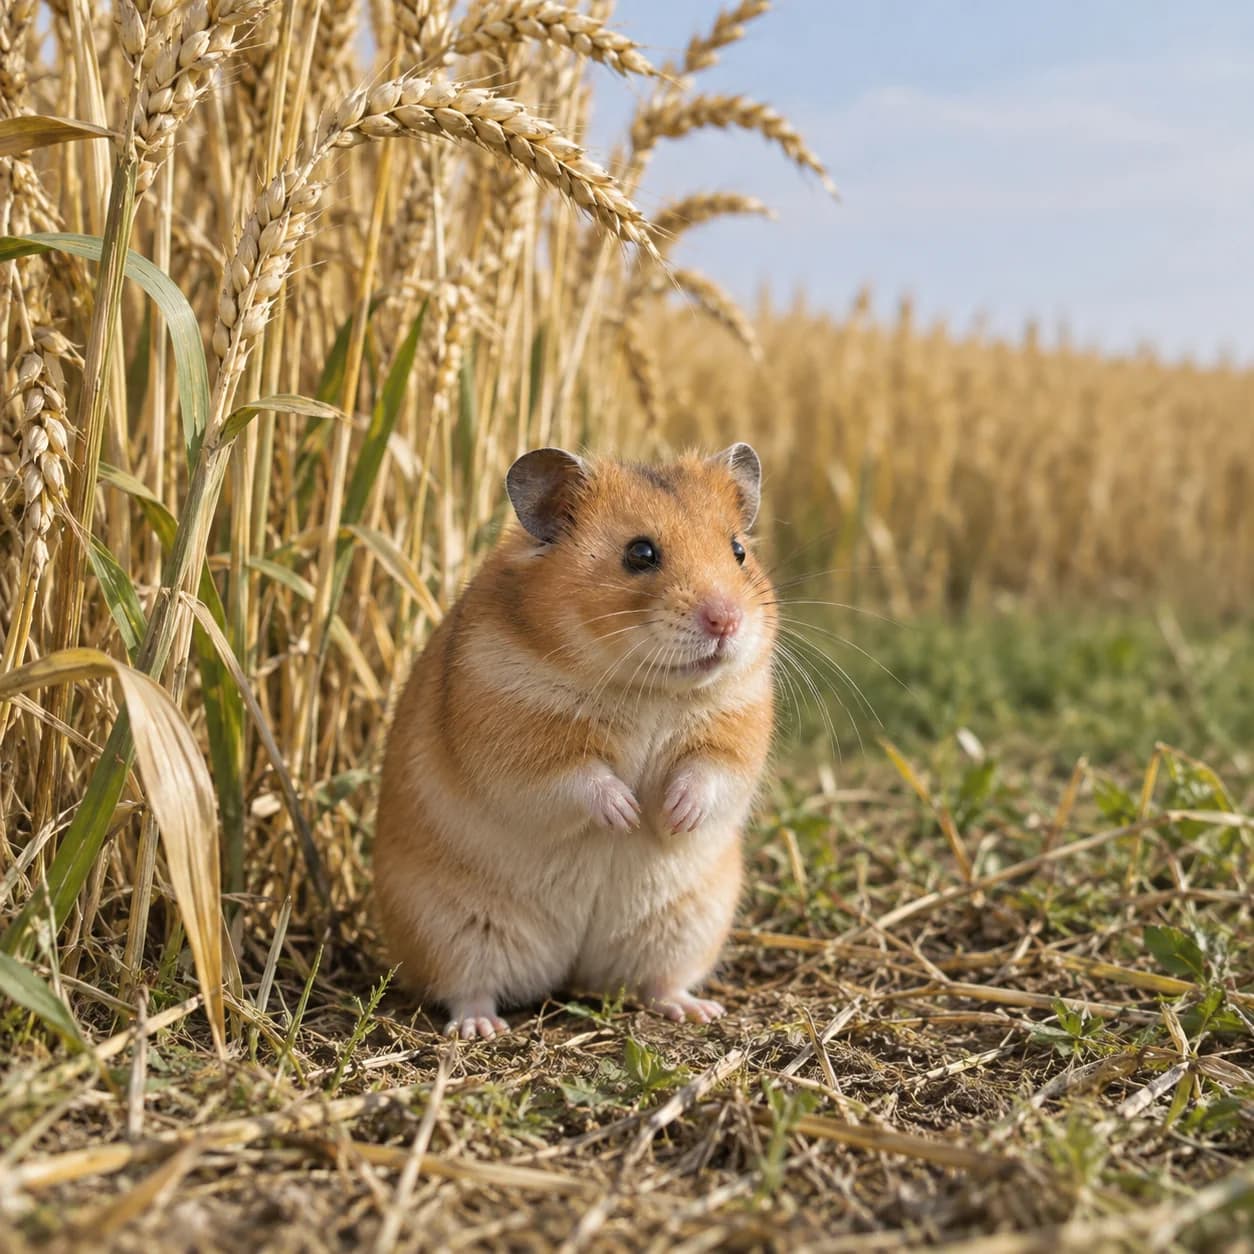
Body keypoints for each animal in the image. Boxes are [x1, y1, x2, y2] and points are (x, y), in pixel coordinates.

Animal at [373, 443, 776, 1039]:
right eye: (640, 553)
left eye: (739, 550)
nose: (726, 621)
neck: (648, 687)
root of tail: (570, 970)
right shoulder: (518, 744)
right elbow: (581, 780)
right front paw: (629, 814)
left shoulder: (737, 730)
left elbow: (707, 774)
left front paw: (671, 815)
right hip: (450, 929)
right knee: (466, 988)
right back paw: (481, 1028)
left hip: (689, 924)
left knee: (657, 983)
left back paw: (697, 1010)